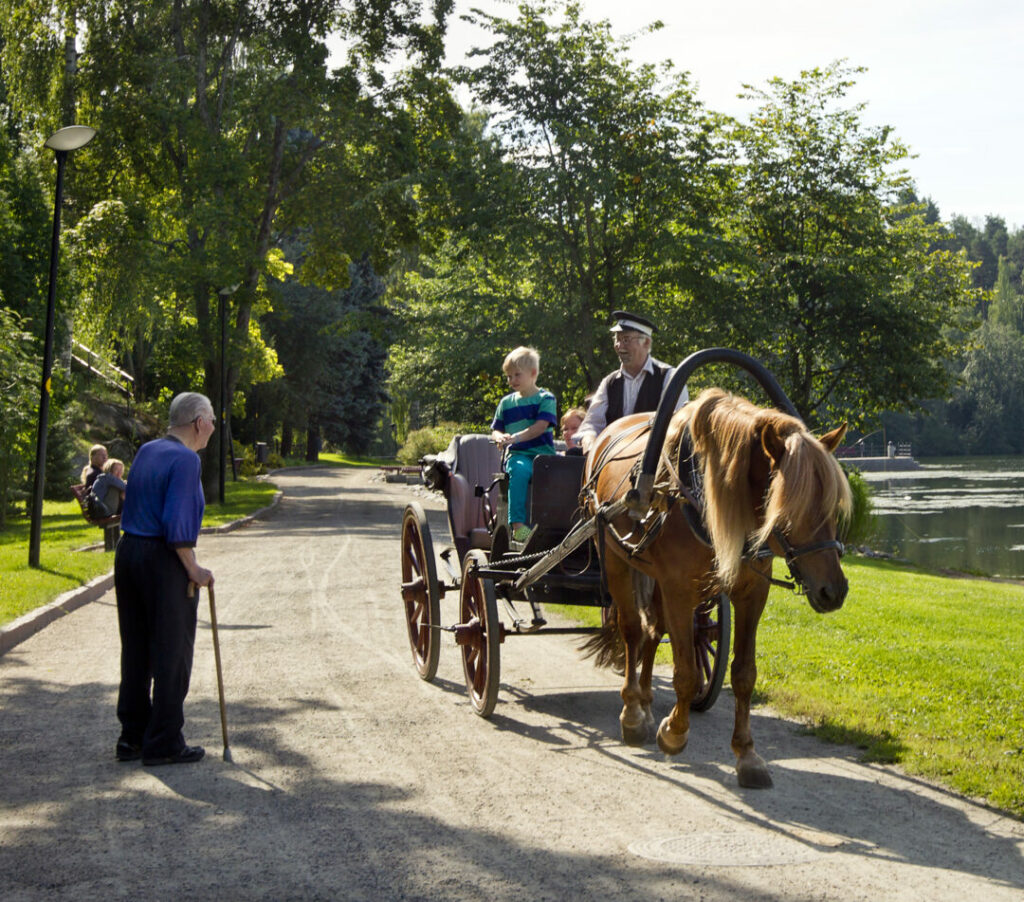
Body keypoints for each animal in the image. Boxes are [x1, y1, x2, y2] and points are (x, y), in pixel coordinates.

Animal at [581, 387, 851, 786]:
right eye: (788, 508)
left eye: (832, 505)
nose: (833, 591)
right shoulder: (679, 590)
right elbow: (686, 672)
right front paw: (674, 732)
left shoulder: (751, 593)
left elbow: (743, 674)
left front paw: (747, 755)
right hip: (616, 561)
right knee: (633, 631)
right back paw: (632, 713)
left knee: (652, 631)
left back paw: (645, 702)